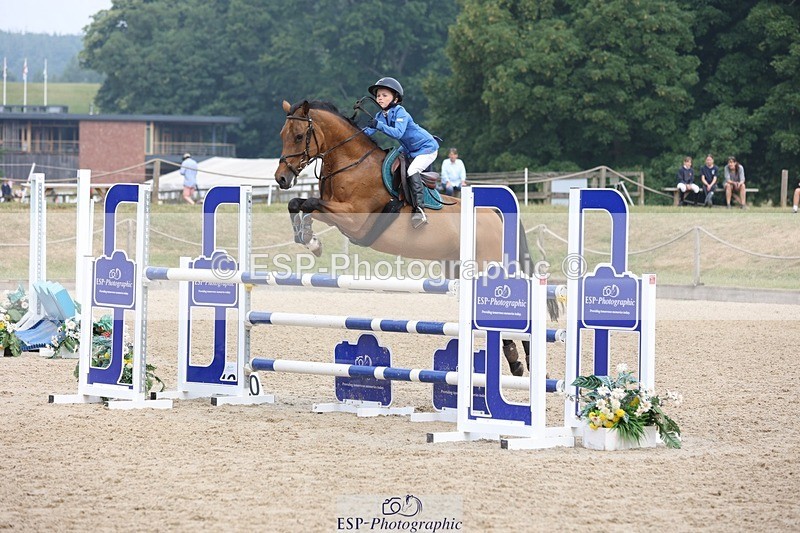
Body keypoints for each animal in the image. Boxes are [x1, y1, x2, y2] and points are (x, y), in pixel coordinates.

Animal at [274, 99, 558, 376]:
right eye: (282, 135)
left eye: (298, 136)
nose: (281, 178)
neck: (352, 163)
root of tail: (494, 215)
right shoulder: (334, 211)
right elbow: (299, 203)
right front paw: (309, 239)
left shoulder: (354, 220)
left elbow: (309, 202)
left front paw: (311, 240)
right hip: (458, 267)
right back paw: (518, 361)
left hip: (487, 266)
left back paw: (523, 361)